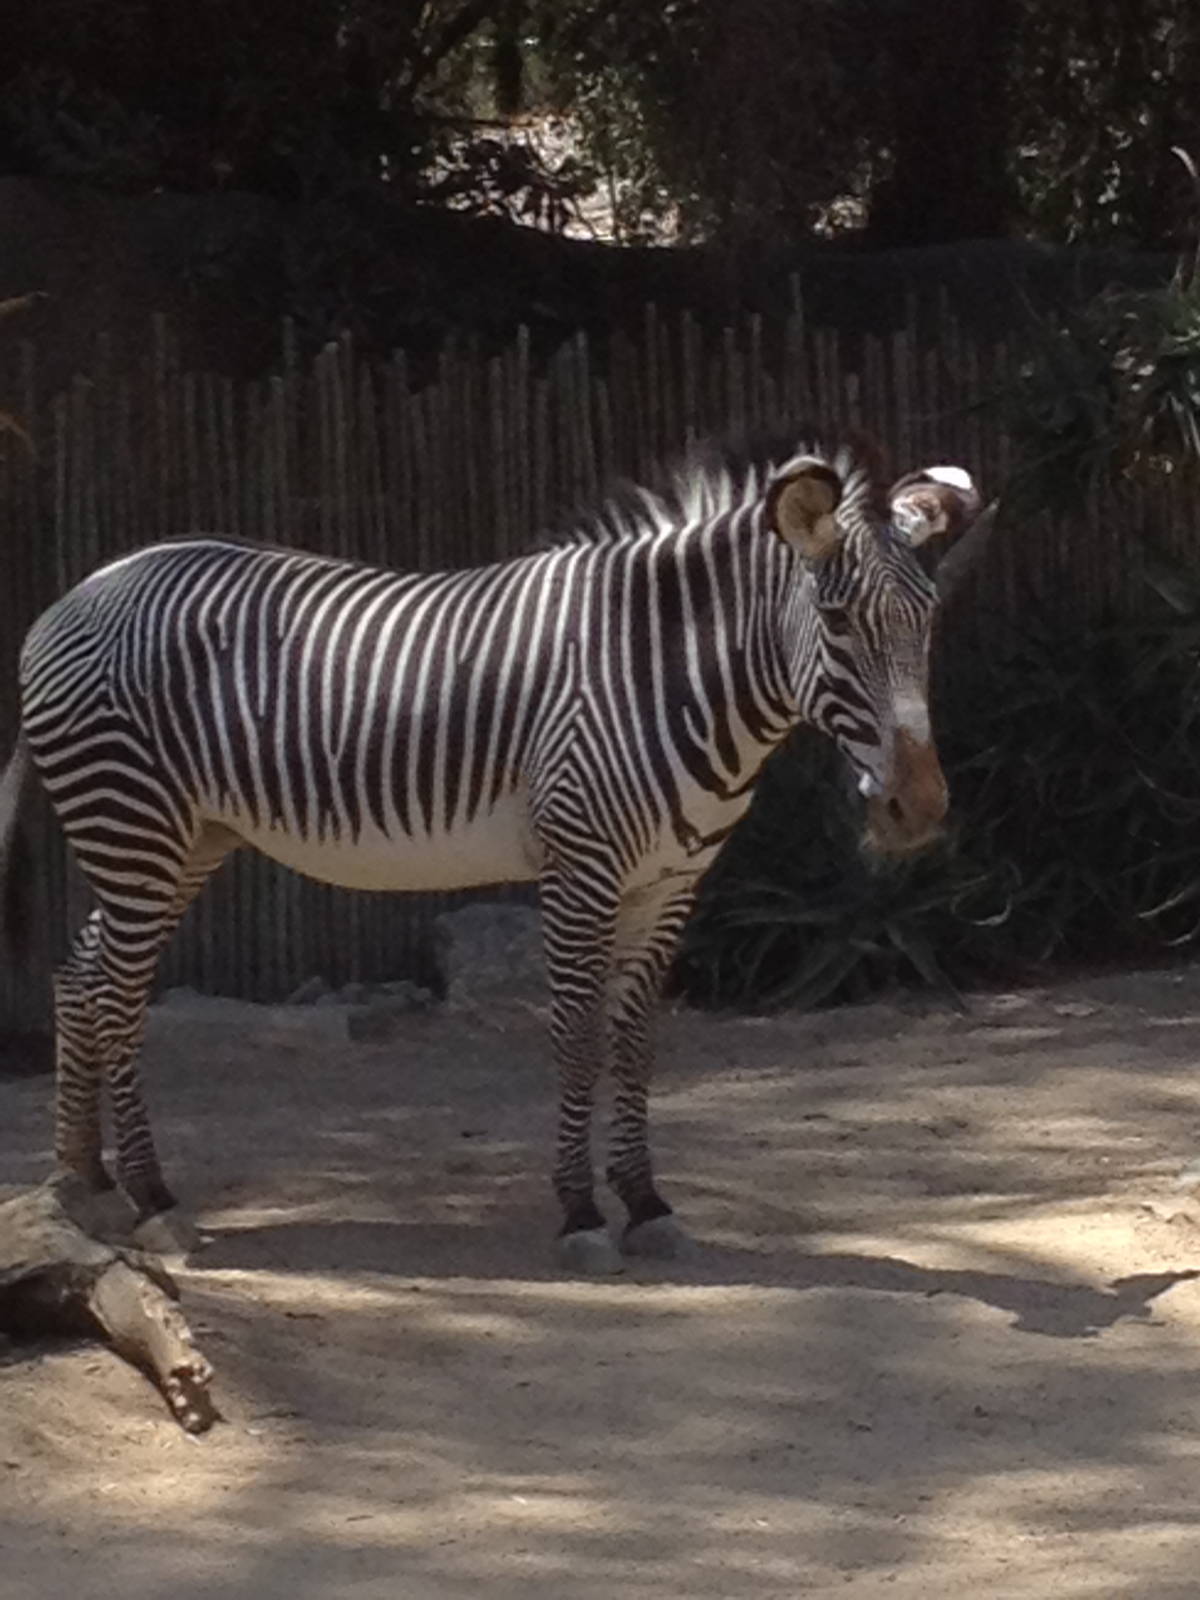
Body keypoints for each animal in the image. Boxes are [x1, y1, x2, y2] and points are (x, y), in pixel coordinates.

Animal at [0, 429, 986, 1273]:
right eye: (838, 620)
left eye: (930, 619)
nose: (918, 810)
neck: (671, 675)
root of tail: (76, 593)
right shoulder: (582, 867)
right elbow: (578, 1036)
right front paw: (581, 1216)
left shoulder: (670, 882)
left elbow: (637, 1041)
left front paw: (648, 1205)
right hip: (134, 824)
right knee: (118, 996)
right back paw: (154, 1199)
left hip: (180, 840)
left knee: (80, 977)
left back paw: (84, 1183)